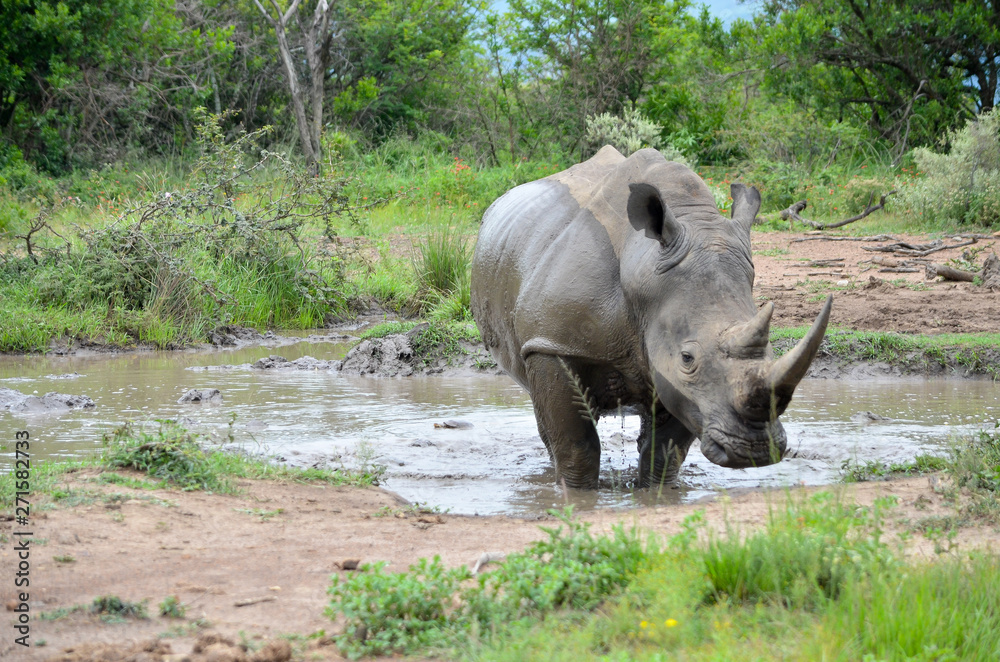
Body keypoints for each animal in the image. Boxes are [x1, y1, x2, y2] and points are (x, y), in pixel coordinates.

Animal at [470, 146, 832, 489]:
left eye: (771, 352)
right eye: (687, 358)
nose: (754, 451)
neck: (642, 267)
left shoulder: (682, 386)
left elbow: (663, 452)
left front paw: (656, 493)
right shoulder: (552, 344)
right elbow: (577, 447)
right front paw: (575, 495)